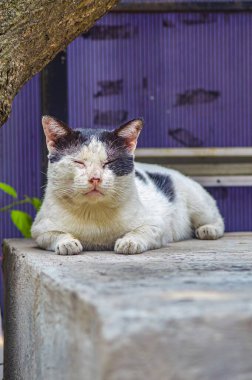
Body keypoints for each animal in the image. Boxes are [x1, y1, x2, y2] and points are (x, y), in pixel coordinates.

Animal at [31, 114, 224, 254]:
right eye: (79, 162)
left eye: (109, 162)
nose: (95, 178)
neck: (93, 212)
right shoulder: (39, 228)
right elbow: (54, 234)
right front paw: (67, 243)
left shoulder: (158, 225)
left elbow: (143, 231)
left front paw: (129, 241)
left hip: (198, 204)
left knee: (217, 219)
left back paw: (208, 230)